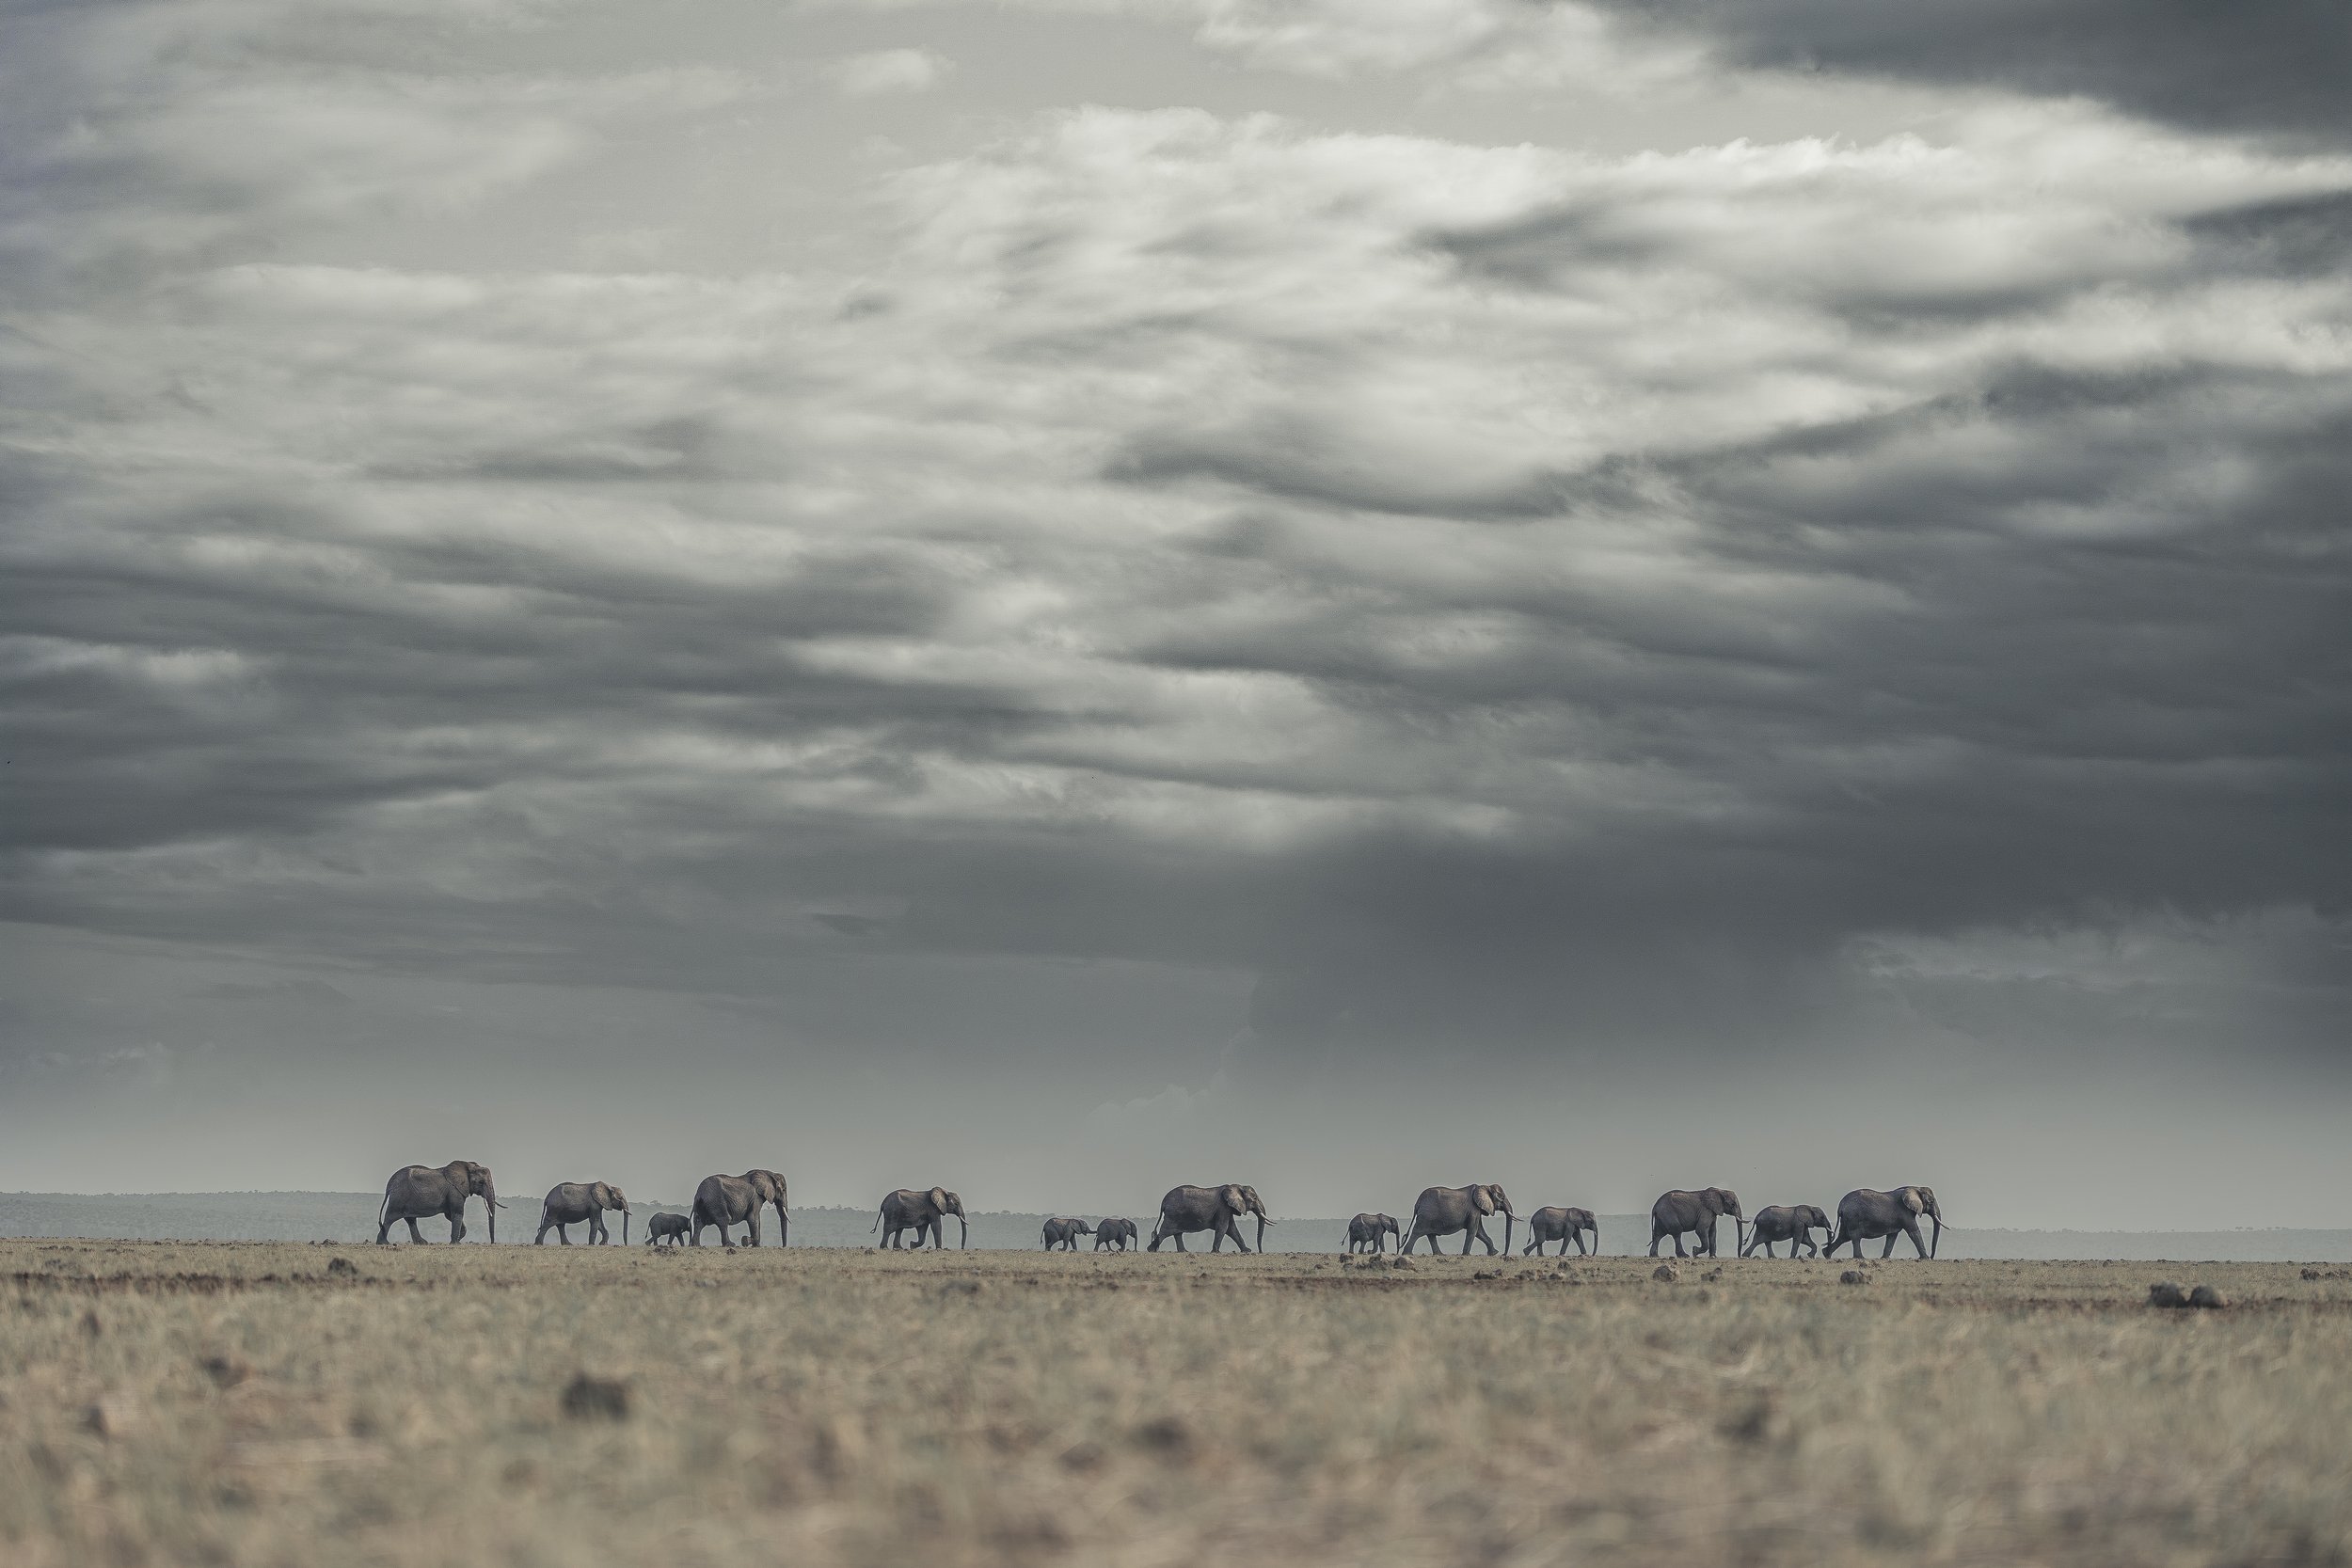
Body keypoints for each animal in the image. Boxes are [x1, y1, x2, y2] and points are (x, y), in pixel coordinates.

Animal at [376, 1161, 500, 1245]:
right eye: (481, 1182)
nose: (492, 1243)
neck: (468, 1166)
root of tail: (390, 1182)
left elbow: (450, 1215)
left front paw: (458, 1241)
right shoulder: (455, 1190)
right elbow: (457, 1213)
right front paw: (455, 1244)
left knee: (410, 1220)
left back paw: (422, 1244)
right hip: (399, 1197)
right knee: (390, 1218)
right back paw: (383, 1243)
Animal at [1148, 1183, 1274, 1253]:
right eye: (1255, 1198)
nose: (1260, 1252)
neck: (1237, 1187)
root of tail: (1163, 1202)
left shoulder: (1228, 1208)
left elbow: (1232, 1229)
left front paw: (1247, 1251)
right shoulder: (1223, 1207)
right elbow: (1224, 1227)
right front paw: (1216, 1252)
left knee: (1177, 1233)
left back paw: (1183, 1251)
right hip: (1173, 1215)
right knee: (1164, 1232)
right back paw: (1151, 1250)